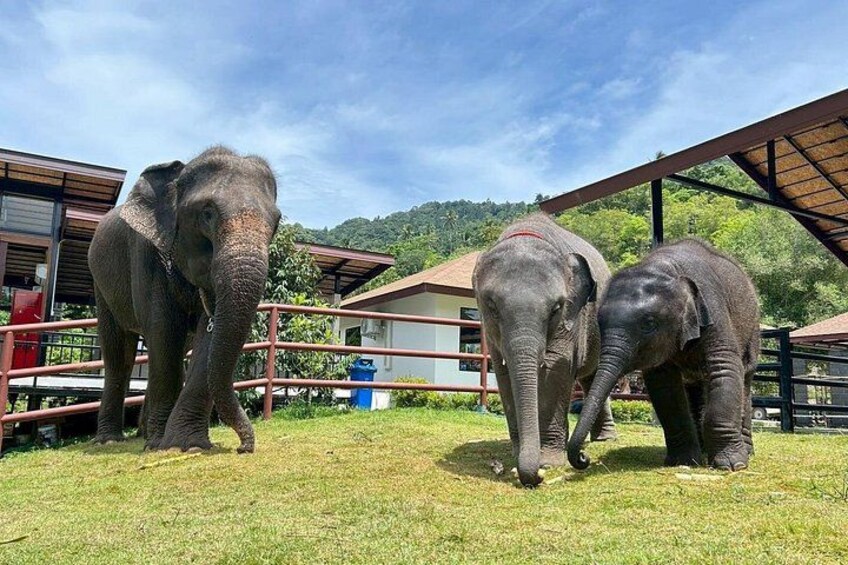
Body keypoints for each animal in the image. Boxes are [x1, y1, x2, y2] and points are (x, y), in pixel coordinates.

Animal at [89, 146, 281, 453]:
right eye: (207, 213)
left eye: (276, 223)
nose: (244, 448)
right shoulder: (145, 253)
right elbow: (163, 329)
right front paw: (163, 446)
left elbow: (205, 337)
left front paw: (187, 445)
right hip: (100, 284)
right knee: (120, 355)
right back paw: (110, 439)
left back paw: (143, 433)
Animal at [473, 213, 617, 487]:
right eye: (492, 306)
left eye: (556, 308)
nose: (536, 477)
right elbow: (503, 373)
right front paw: (519, 454)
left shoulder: (573, 316)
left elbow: (556, 369)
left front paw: (548, 461)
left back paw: (607, 439)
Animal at [568, 238, 760, 472]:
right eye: (599, 323)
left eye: (649, 324)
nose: (583, 458)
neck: (666, 267)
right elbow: (664, 387)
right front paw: (683, 462)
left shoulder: (713, 309)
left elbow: (723, 368)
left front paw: (732, 465)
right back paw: (703, 451)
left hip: (752, 330)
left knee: (745, 378)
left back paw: (745, 452)